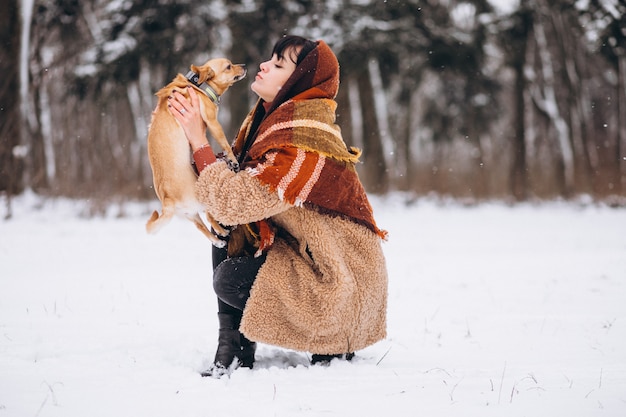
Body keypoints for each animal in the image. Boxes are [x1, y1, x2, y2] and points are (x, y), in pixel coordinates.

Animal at [145, 60, 245, 245]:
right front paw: (233, 160)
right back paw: (223, 230)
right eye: (228, 66)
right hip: (202, 198)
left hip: (190, 214)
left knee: (201, 226)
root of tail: (168, 199)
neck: (198, 85)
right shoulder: (213, 123)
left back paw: (218, 240)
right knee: (210, 215)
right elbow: (225, 144)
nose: (243, 65)